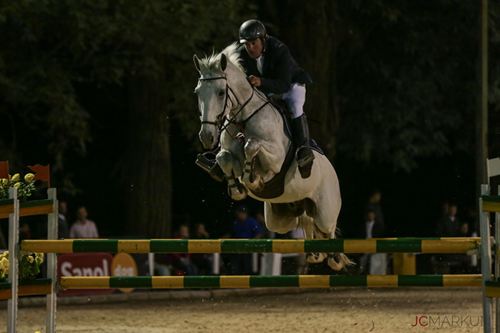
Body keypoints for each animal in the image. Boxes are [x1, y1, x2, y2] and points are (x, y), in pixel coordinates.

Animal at [192, 42, 352, 270]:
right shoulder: (230, 153)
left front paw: (252, 179)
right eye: (198, 92)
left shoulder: (275, 159)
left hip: (325, 211)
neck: (243, 120)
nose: (207, 137)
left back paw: (334, 257)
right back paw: (315, 253)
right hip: (280, 219)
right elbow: (224, 157)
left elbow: (252, 145)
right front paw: (237, 188)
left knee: (327, 230)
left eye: (222, 92)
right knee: (304, 222)